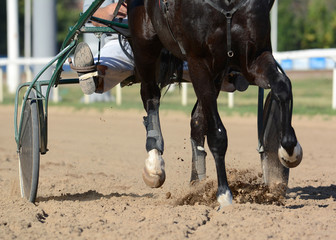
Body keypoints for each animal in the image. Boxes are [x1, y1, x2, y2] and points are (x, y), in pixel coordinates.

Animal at [126, 0, 302, 207]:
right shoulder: (198, 62)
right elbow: (217, 135)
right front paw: (224, 194)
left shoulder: (254, 55)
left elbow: (282, 86)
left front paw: (290, 150)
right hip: (144, 44)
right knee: (150, 95)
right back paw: (154, 164)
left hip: (218, 72)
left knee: (197, 119)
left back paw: (197, 184)